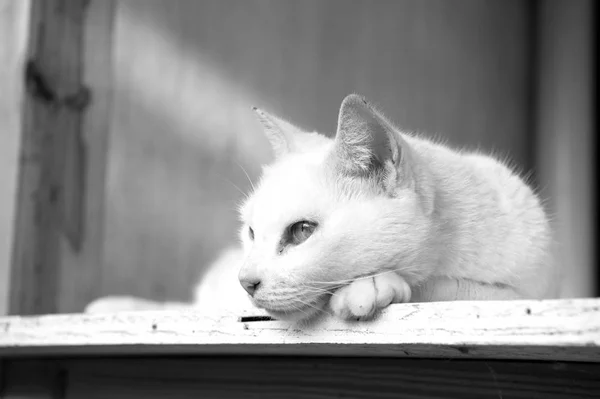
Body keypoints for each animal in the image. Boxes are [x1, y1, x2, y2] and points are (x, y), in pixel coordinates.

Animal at [84, 94, 556, 322]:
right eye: (251, 232)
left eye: (301, 231)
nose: (246, 281)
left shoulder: (531, 293)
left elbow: (449, 286)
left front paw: (372, 286)